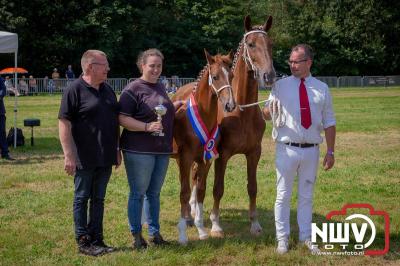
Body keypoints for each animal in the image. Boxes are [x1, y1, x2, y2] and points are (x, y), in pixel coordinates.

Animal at [171, 50, 234, 245]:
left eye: (232, 75)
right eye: (215, 77)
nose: (230, 105)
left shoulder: (206, 160)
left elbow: (200, 191)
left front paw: (201, 230)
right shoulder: (185, 158)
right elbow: (184, 193)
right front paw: (182, 235)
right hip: (178, 160)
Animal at [190, 15, 276, 238]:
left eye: (270, 44)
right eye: (251, 44)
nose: (269, 76)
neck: (241, 111)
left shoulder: (254, 153)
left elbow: (252, 187)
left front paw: (255, 224)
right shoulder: (223, 154)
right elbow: (218, 188)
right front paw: (215, 225)